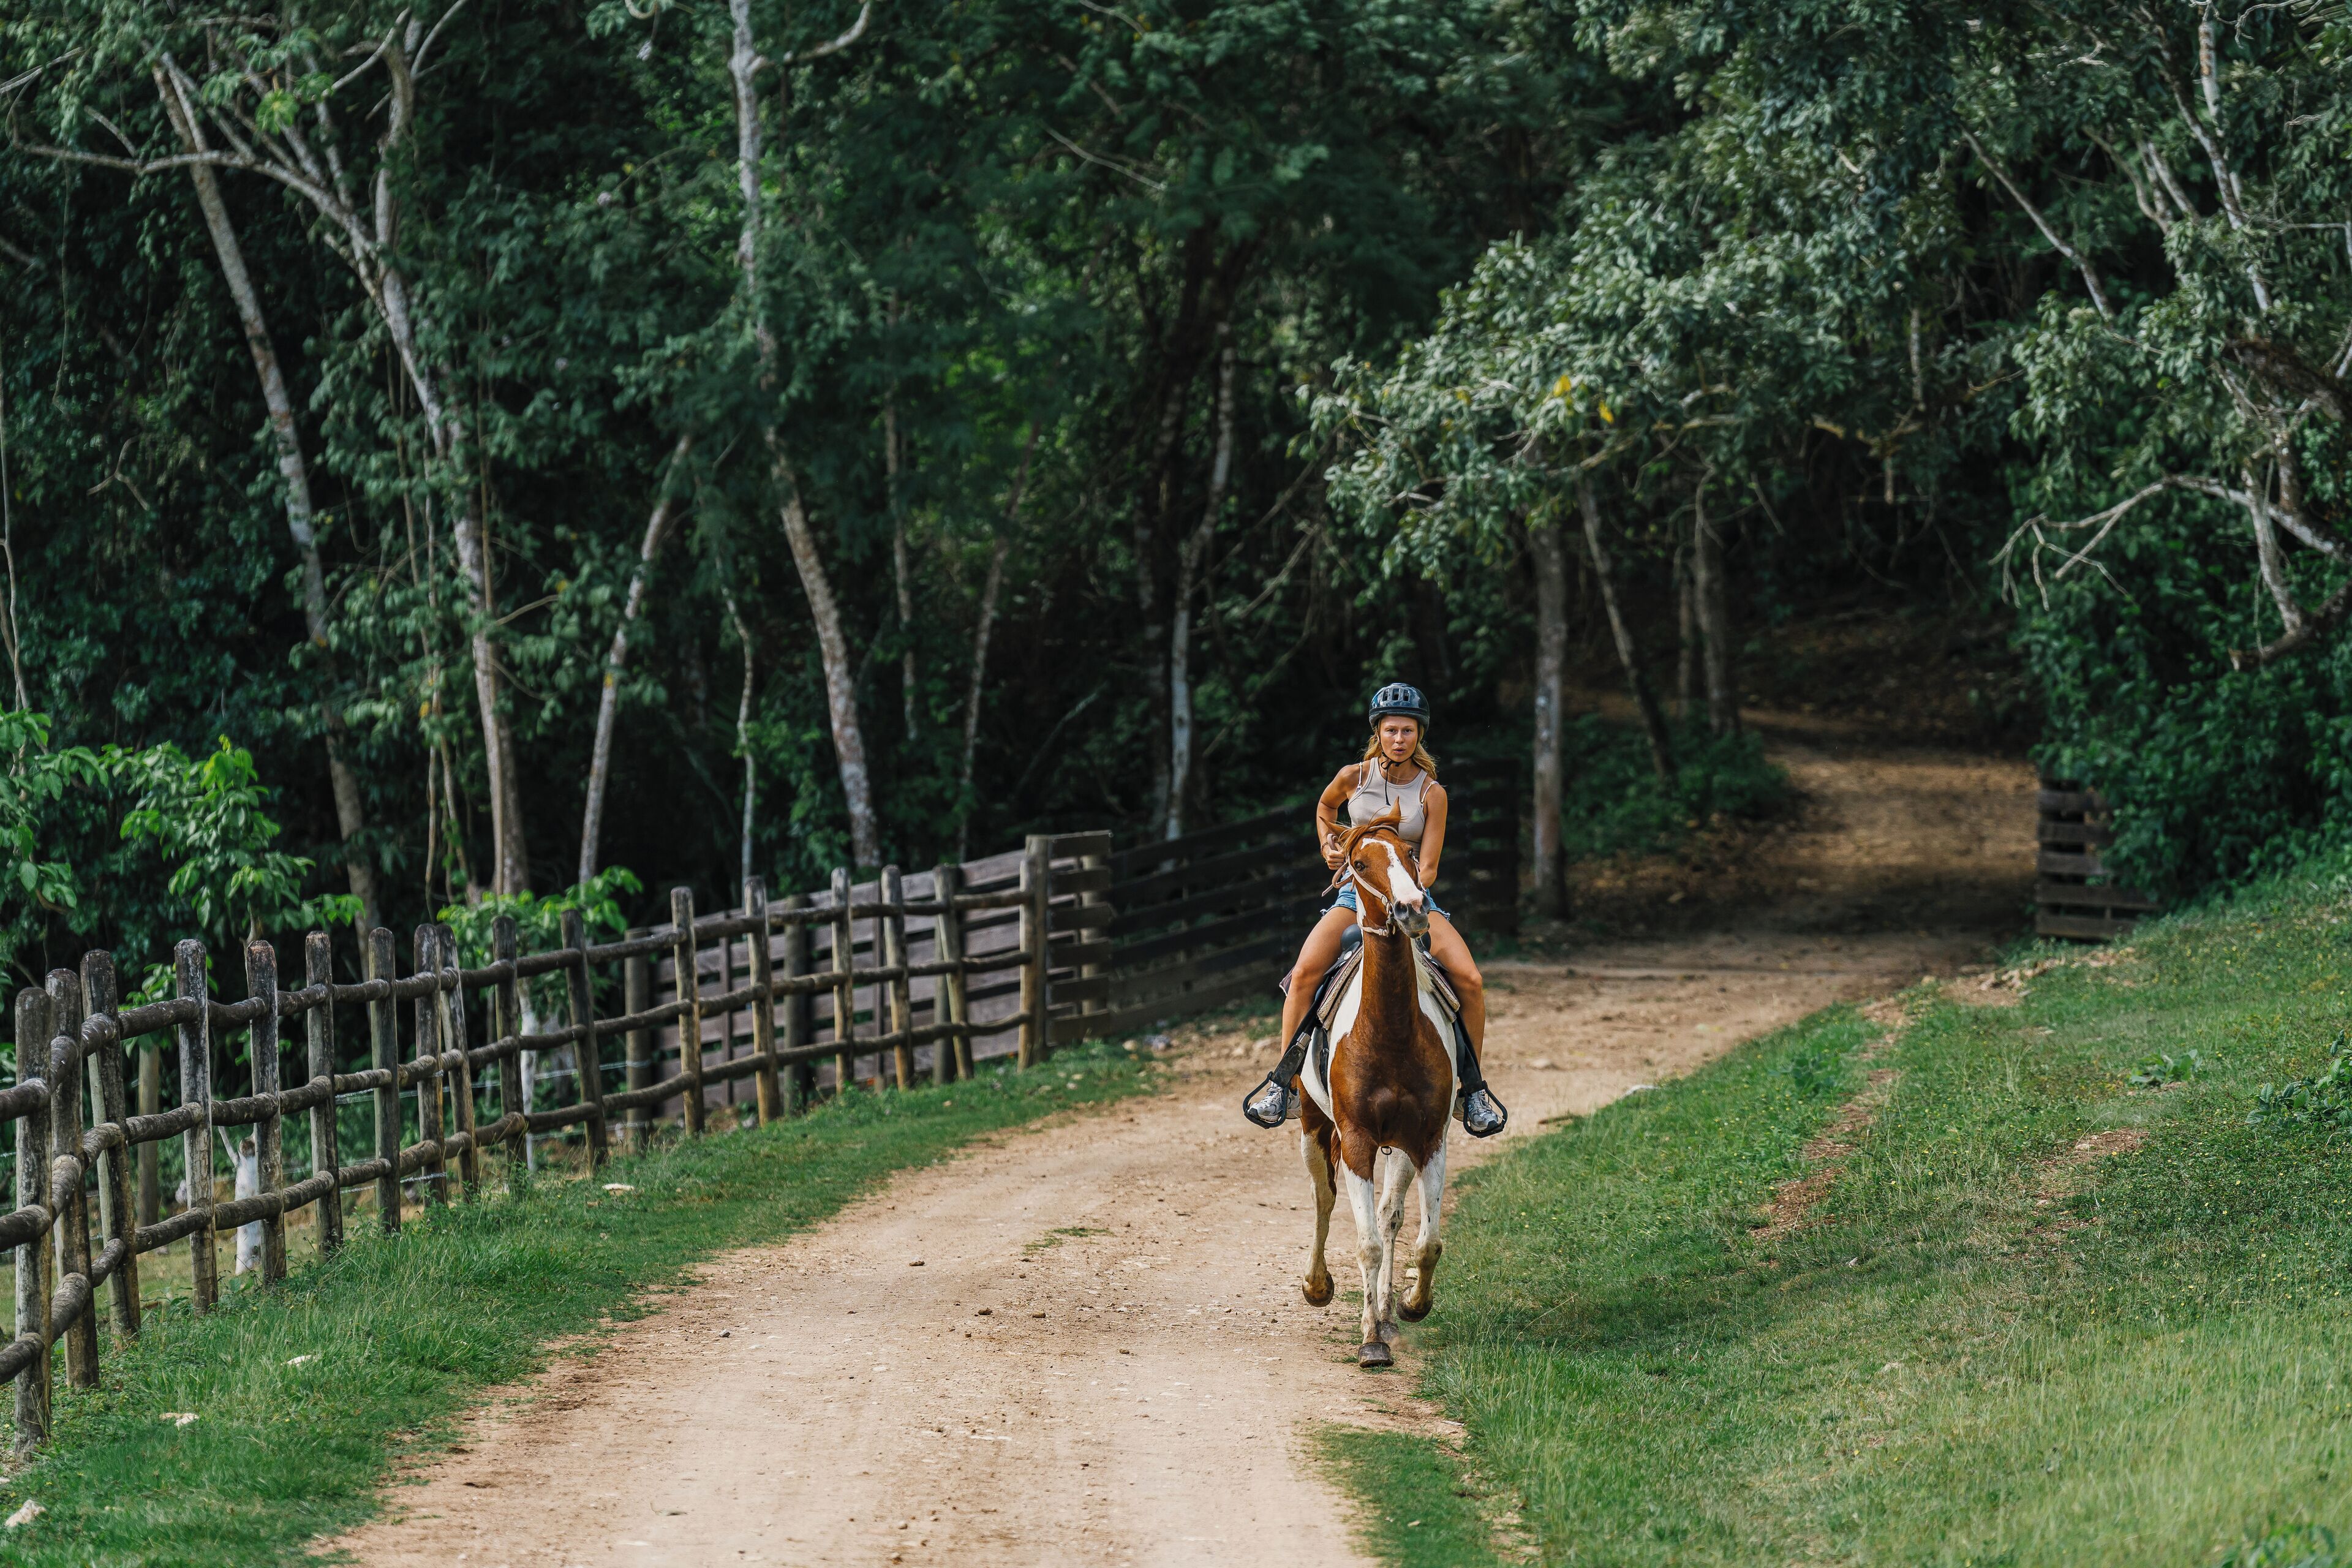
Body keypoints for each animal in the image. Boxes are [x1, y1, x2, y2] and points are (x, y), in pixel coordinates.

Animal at [1294, 806, 1456, 1368]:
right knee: (1324, 1199)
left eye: (1410, 853)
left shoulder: (1428, 1140)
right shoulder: (1359, 1140)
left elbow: (1425, 1242)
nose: (1411, 909)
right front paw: (1370, 1344)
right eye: (1359, 863)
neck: (1389, 1034)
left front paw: (1409, 1306)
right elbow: (1363, 1242)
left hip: (1401, 1148)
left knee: (1390, 1217)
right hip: (1314, 1127)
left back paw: (1386, 1312)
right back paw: (1318, 1286)